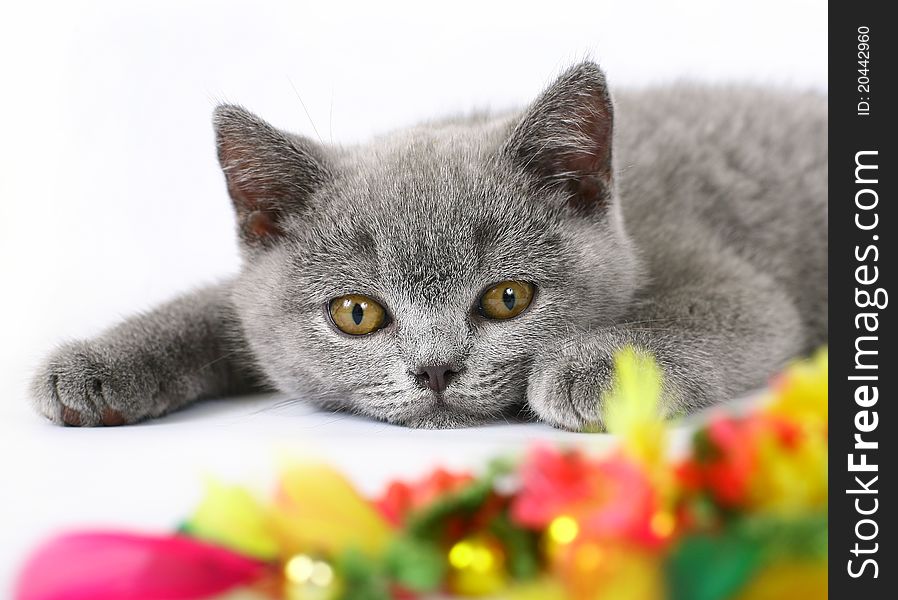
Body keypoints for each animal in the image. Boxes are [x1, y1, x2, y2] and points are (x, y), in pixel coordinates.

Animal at [29, 63, 824, 432]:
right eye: (356, 314)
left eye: (509, 298)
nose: (437, 370)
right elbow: (215, 309)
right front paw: (94, 367)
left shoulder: (717, 271)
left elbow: (712, 314)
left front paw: (596, 368)